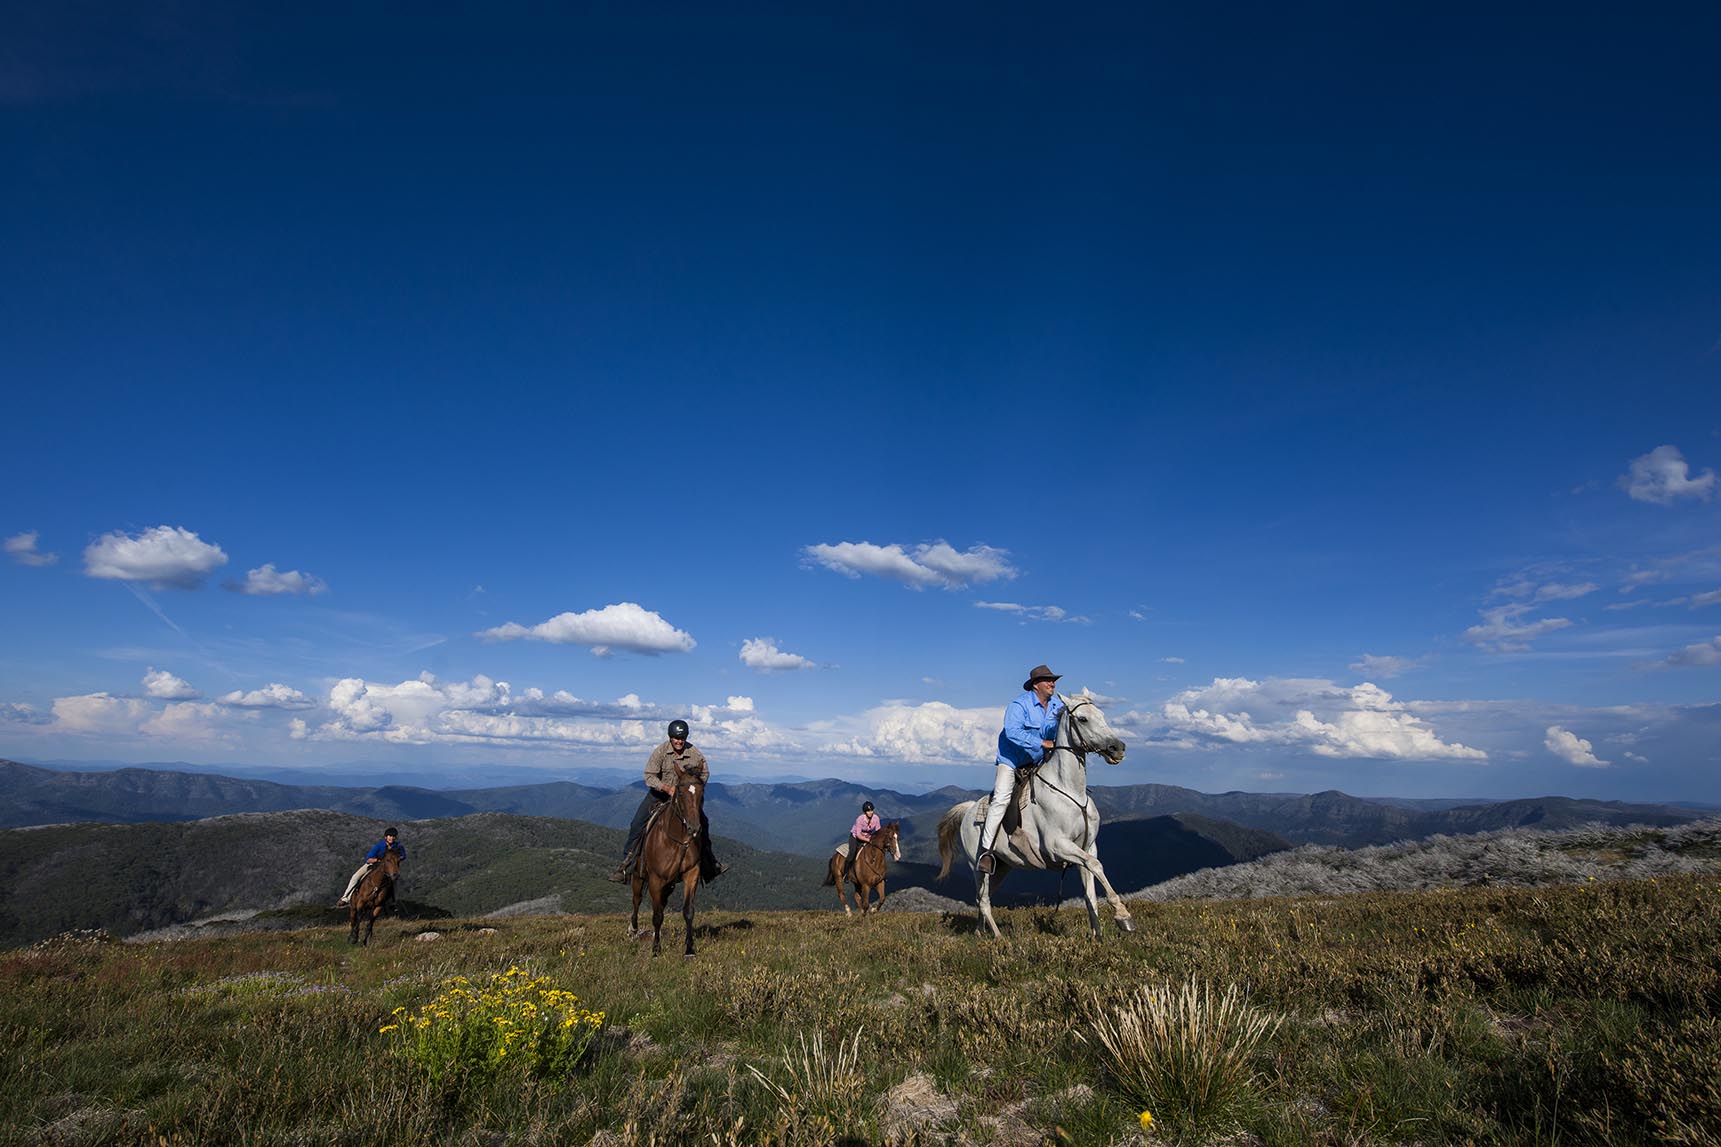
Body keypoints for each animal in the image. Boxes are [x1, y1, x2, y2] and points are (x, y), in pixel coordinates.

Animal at [629, 757, 702, 957]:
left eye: (701, 793)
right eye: (681, 793)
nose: (694, 828)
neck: (678, 840)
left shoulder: (691, 874)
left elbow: (688, 911)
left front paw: (689, 949)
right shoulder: (655, 879)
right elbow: (657, 915)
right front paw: (656, 949)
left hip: (668, 885)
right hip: (638, 876)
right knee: (637, 900)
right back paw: (633, 930)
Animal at [936, 692, 1135, 936]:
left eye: (1102, 715)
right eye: (1082, 719)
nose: (1117, 747)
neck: (1070, 792)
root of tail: (969, 809)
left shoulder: (1087, 846)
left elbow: (1091, 891)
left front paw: (1097, 935)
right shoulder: (1057, 845)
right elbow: (1096, 866)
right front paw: (1123, 916)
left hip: (1001, 868)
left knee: (980, 898)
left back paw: (980, 932)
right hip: (977, 867)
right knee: (983, 900)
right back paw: (999, 937)